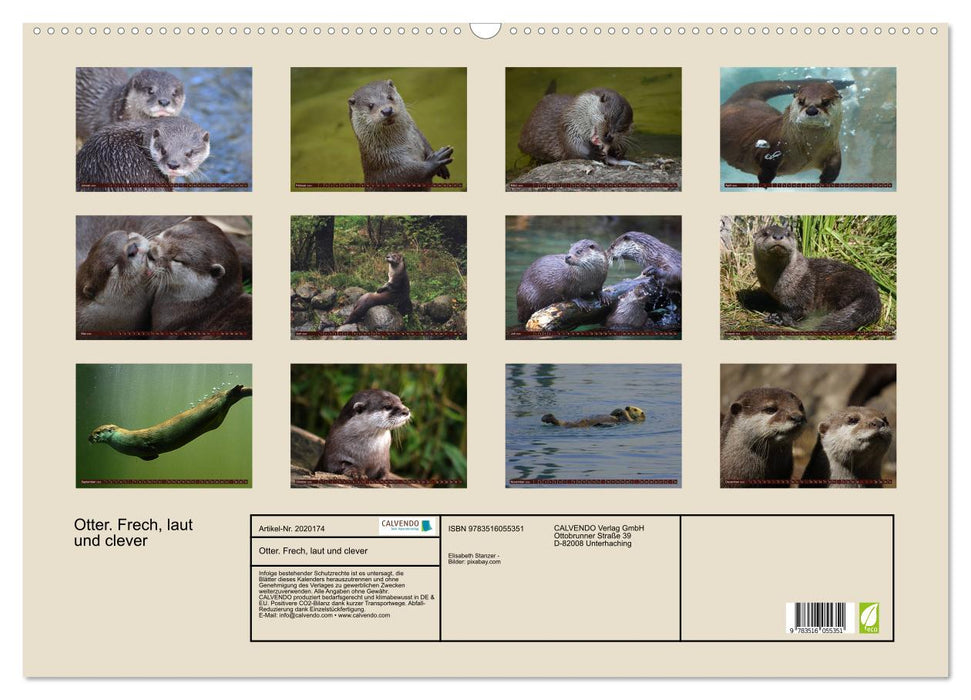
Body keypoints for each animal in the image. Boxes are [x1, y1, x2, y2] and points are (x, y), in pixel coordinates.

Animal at [89, 385, 252, 461]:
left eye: (97, 432)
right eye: (93, 432)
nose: (89, 437)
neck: (122, 440)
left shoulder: (140, 440)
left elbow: (148, 444)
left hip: (215, 403)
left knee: (224, 395)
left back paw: (235, 389)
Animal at [720, 79, 853, 184]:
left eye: (825, 102)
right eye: (801, 101)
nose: (811, 110)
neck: (809, 150)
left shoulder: (833, 148)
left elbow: (836, 162)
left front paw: (827, 179)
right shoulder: (773, 146)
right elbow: (767, 163)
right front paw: (765, 179)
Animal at [752, 225, 881, 332]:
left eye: (787, 233)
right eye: (765, 233)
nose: (778, 236)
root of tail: (871, 292)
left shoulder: (802, 292)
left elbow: (800, 309)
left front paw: (778, 316)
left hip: (838, 284)